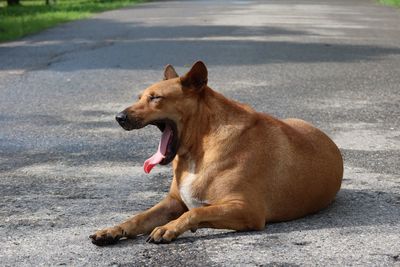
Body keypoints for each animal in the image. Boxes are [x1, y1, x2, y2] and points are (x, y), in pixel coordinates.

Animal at [90, 61, 344, 246]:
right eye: (140, 97)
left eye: (155, 98)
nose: (119, 118)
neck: (199, 148)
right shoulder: (173, 202)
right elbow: (138, 217)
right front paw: (113, 230)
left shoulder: (248, 210)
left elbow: (195, 213)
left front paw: (169, 228)